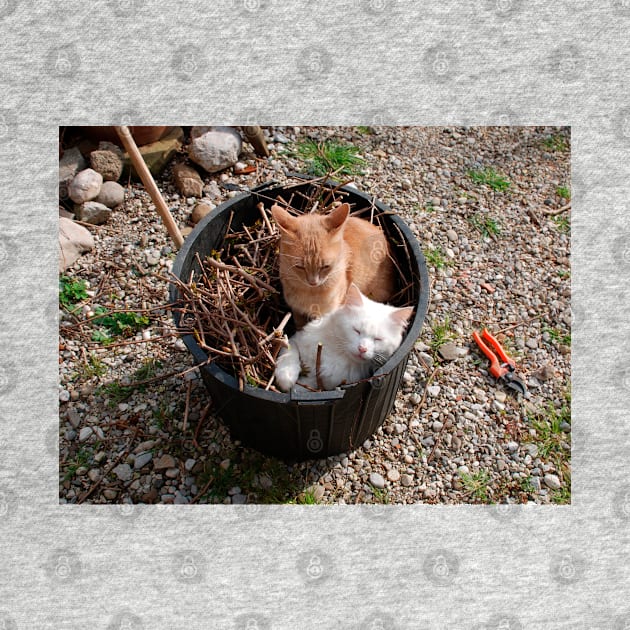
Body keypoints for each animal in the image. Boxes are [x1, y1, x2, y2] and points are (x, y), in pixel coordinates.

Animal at [276, 286, 414, 392]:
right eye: (356, 330)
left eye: (377, 339)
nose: (362, 349)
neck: (339, 355)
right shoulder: (296, 339)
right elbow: (289, 353)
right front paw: (286, 376)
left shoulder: (322, 384)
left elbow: (304, 388)